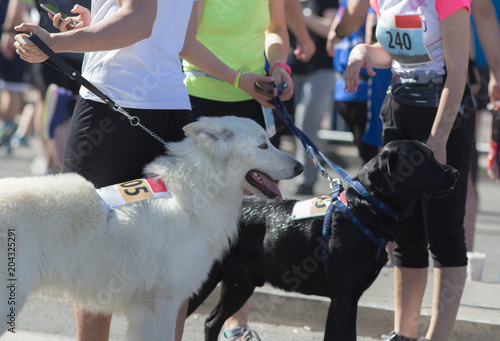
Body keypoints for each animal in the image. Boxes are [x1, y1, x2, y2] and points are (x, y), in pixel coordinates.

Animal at [188, 139, 460, 338]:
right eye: (419, 158)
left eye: (432, 154)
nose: (456, 172)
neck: (363, 210)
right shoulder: (345, 298)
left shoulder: (339, 299)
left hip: (240, 284)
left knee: (211, 322)